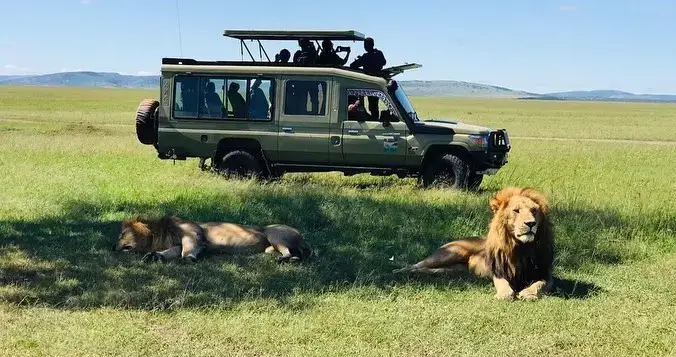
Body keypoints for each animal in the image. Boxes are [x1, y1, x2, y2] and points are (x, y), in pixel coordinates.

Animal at [390, 186, 556, 300]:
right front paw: (504, 294)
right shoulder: (499, 272)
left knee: (430, 270)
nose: (531, 223)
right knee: (417, 264)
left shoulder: (545, 274)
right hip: (449, 254)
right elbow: (503, 285)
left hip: (453, 270)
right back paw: (399, 271)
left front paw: (528, 293)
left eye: (534, 210)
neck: (522, 248)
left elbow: (539, 284)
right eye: (516, 211)